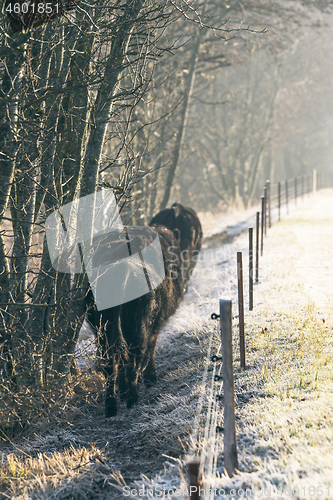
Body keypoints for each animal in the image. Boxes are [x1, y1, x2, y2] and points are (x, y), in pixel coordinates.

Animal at [85, 203, 201, 418]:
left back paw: (112, 406)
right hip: (136, 327)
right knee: (134, 356)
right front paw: (149, 378)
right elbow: (150, 350)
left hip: (100, 327)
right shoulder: (156, 324)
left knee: (110, 362)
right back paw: (132, 398)